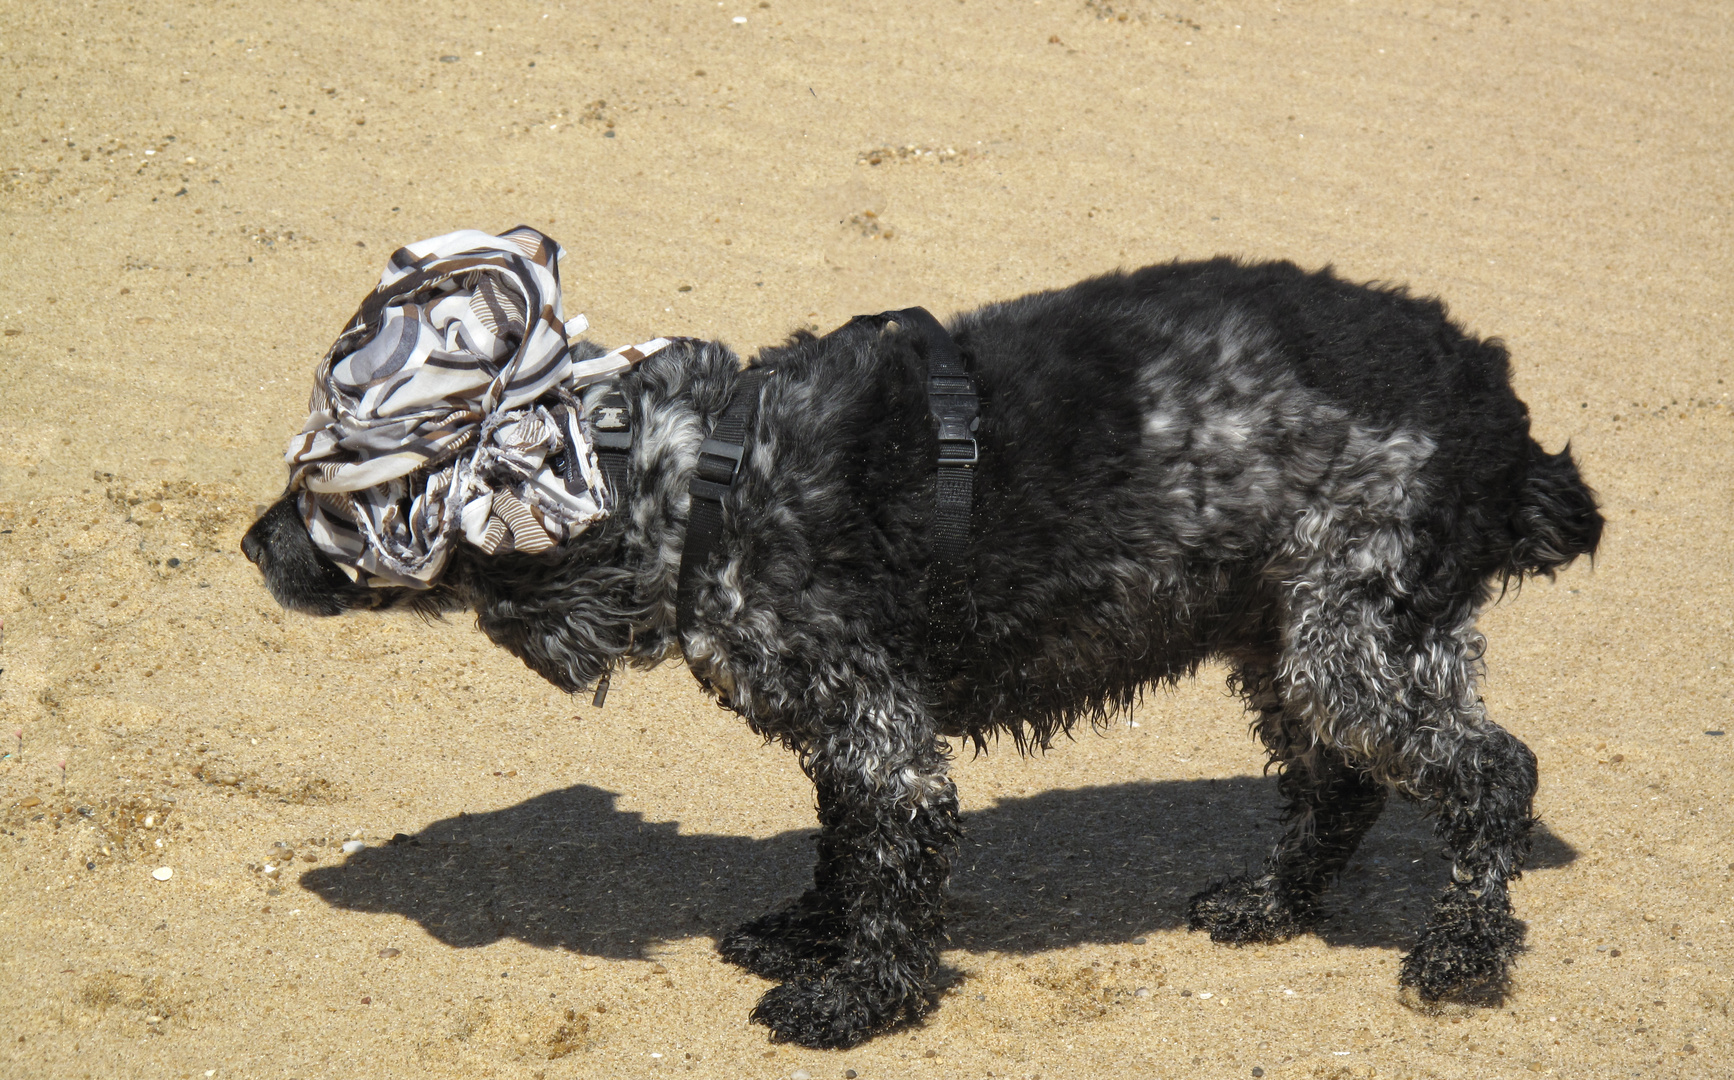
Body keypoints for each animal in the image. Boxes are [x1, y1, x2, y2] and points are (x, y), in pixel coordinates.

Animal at [241, 254, 1595, 1047]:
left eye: (330, 490)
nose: (249, 545)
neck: (703, 477)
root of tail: (1496, 405)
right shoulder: (848, 732)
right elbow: (842, 851)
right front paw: (809, 931)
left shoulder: (885, 741)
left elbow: (893, 880)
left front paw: (856, 996)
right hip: (1291, 636)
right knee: (1341, 782)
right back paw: (1273, 904)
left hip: (1352, 638)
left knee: (1493, 775)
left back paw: (1464, 952)